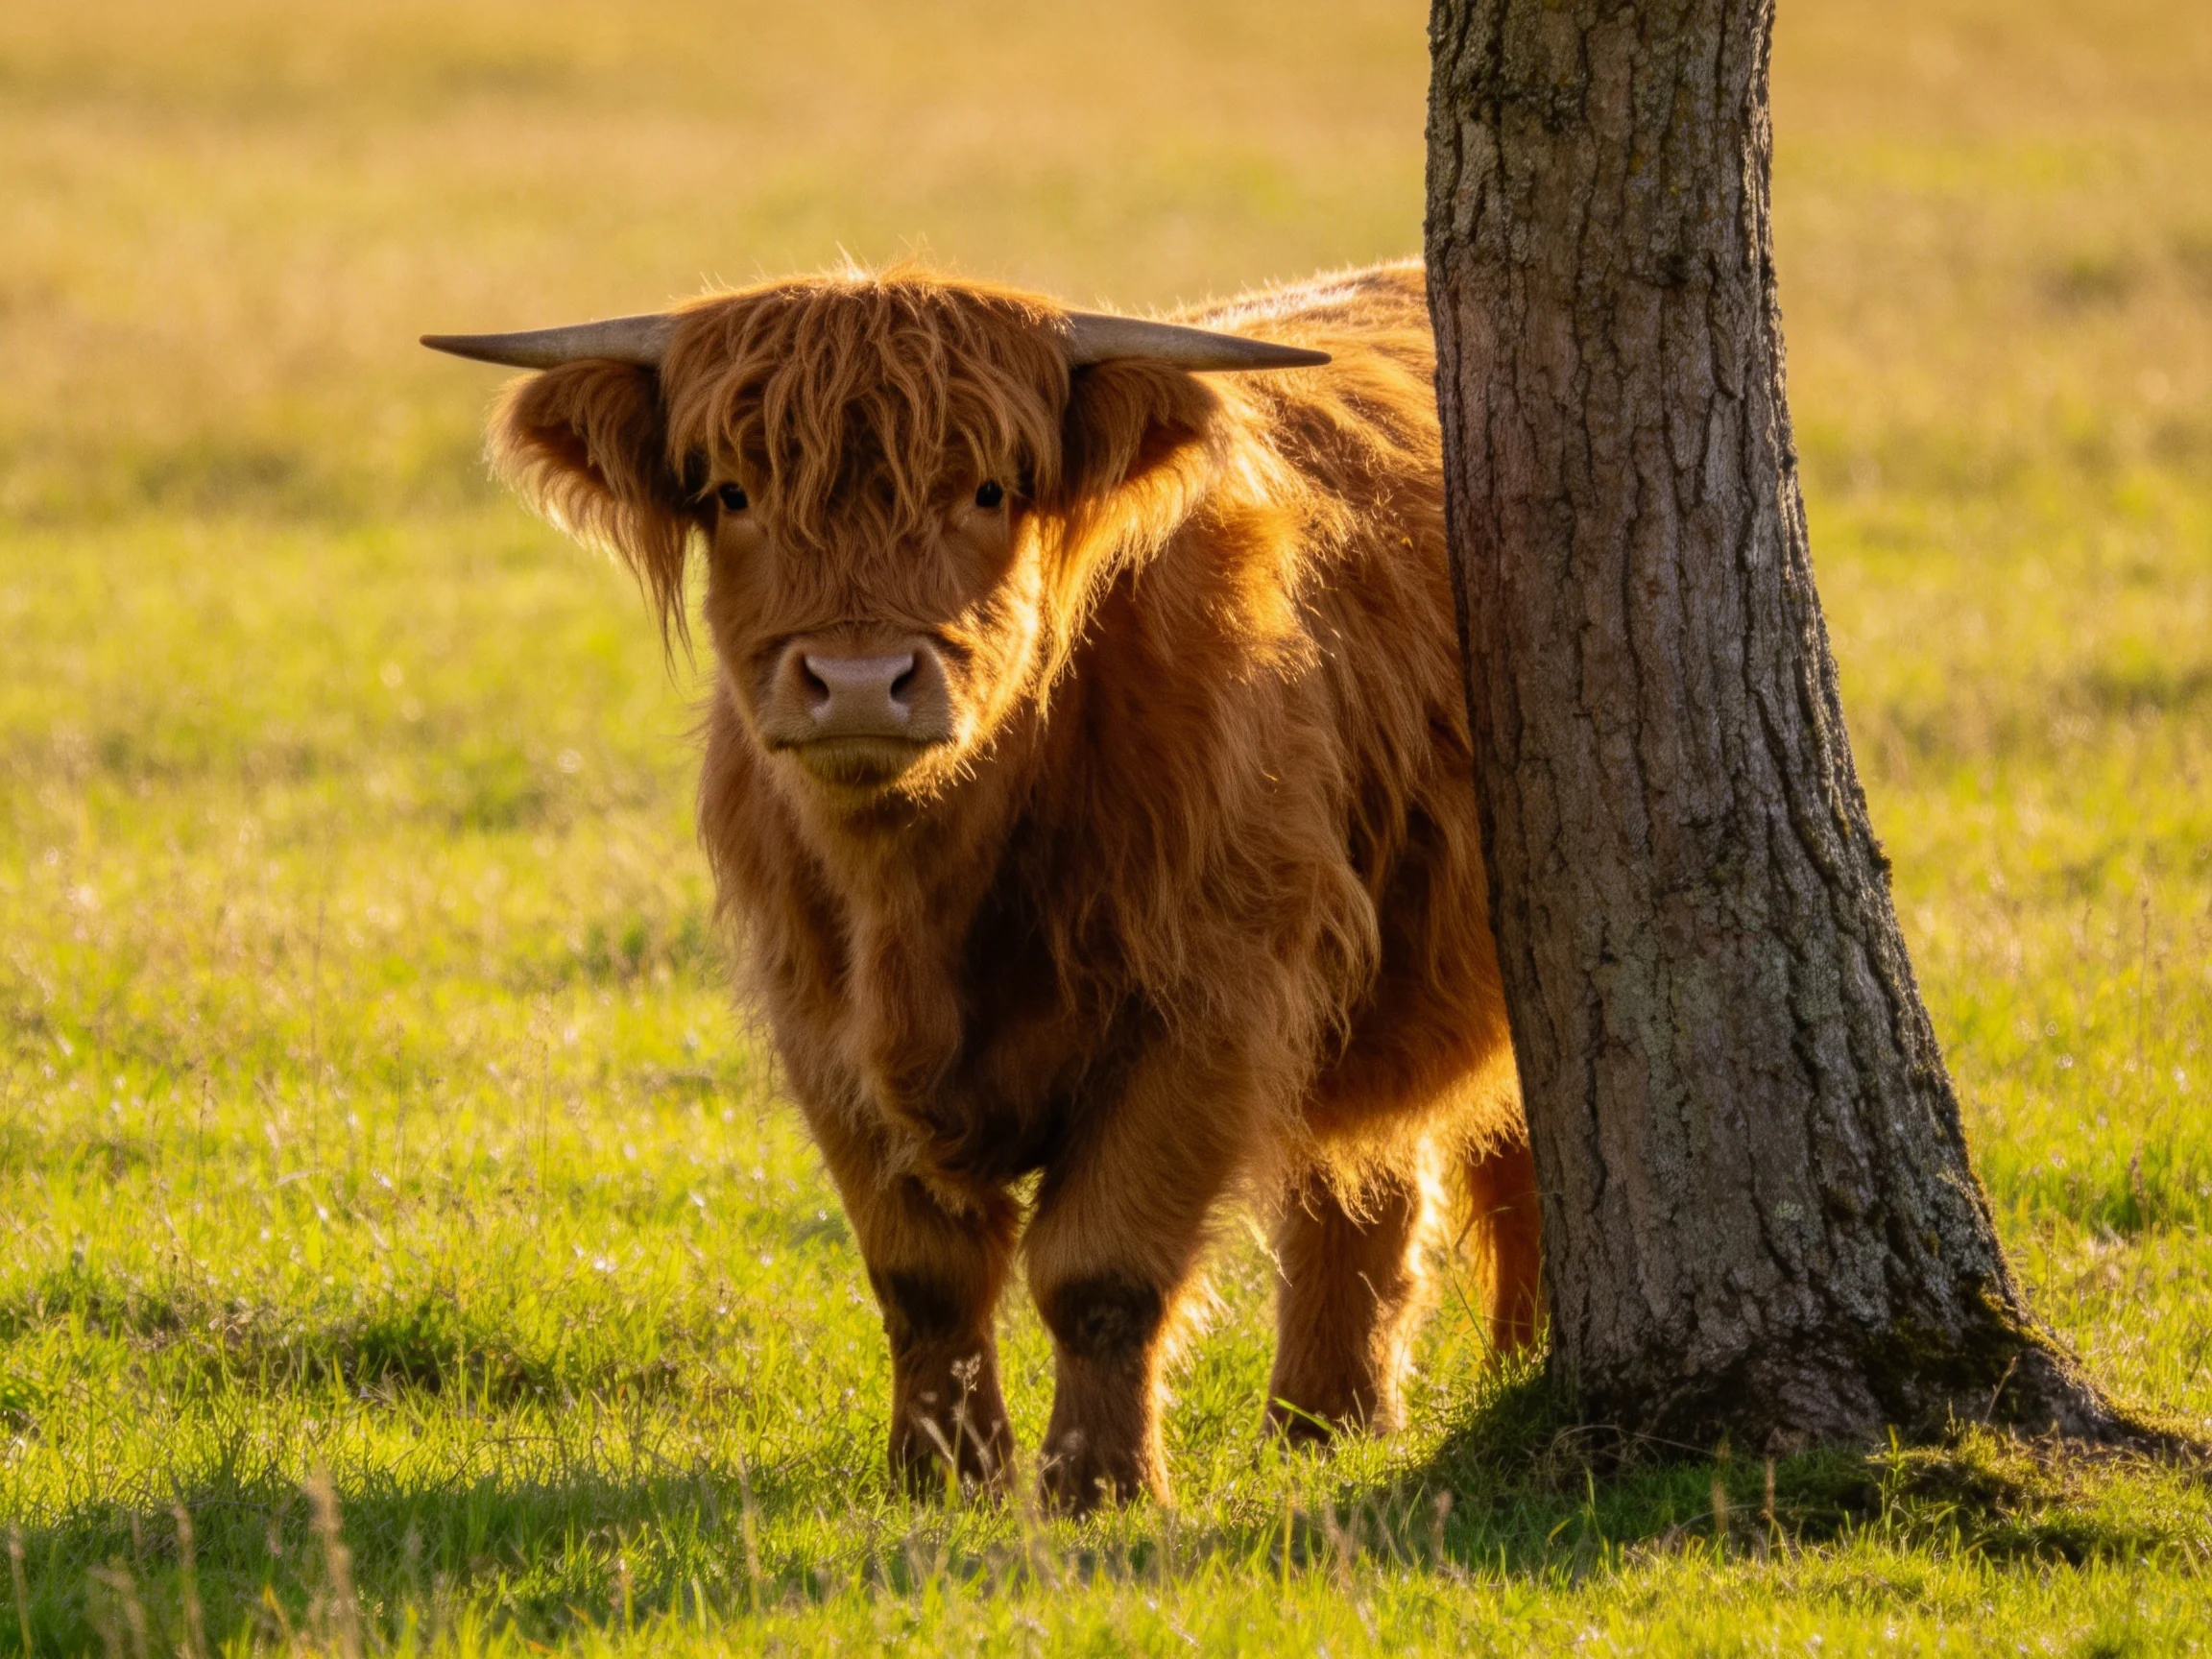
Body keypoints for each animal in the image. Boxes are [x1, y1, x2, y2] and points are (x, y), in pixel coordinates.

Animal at [422, 260, 1540, 1513]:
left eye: (991, 491)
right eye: (731, 493)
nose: (860, 681)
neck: (921, 897)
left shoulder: (1214, 1002)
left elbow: (1102, 1269)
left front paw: (1100, 1486)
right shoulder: (819, 1022)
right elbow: (924, 1276)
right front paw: (941, 1474)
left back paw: (1497, 1373)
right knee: (1368, 1181)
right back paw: (1327, 1424)